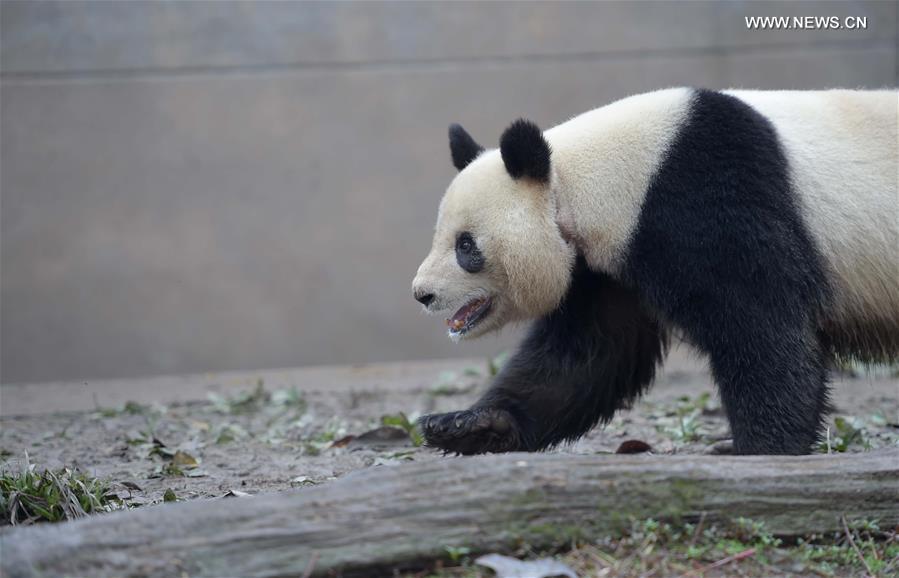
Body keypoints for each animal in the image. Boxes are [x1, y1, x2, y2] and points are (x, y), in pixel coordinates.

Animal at [412, 86, 896, 454]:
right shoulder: (605, 269)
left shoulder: (710, 198)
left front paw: (760, 447)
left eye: (466, 246)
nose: (422, 294)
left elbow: (762, 325)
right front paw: (471, 423)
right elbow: (586, 355)